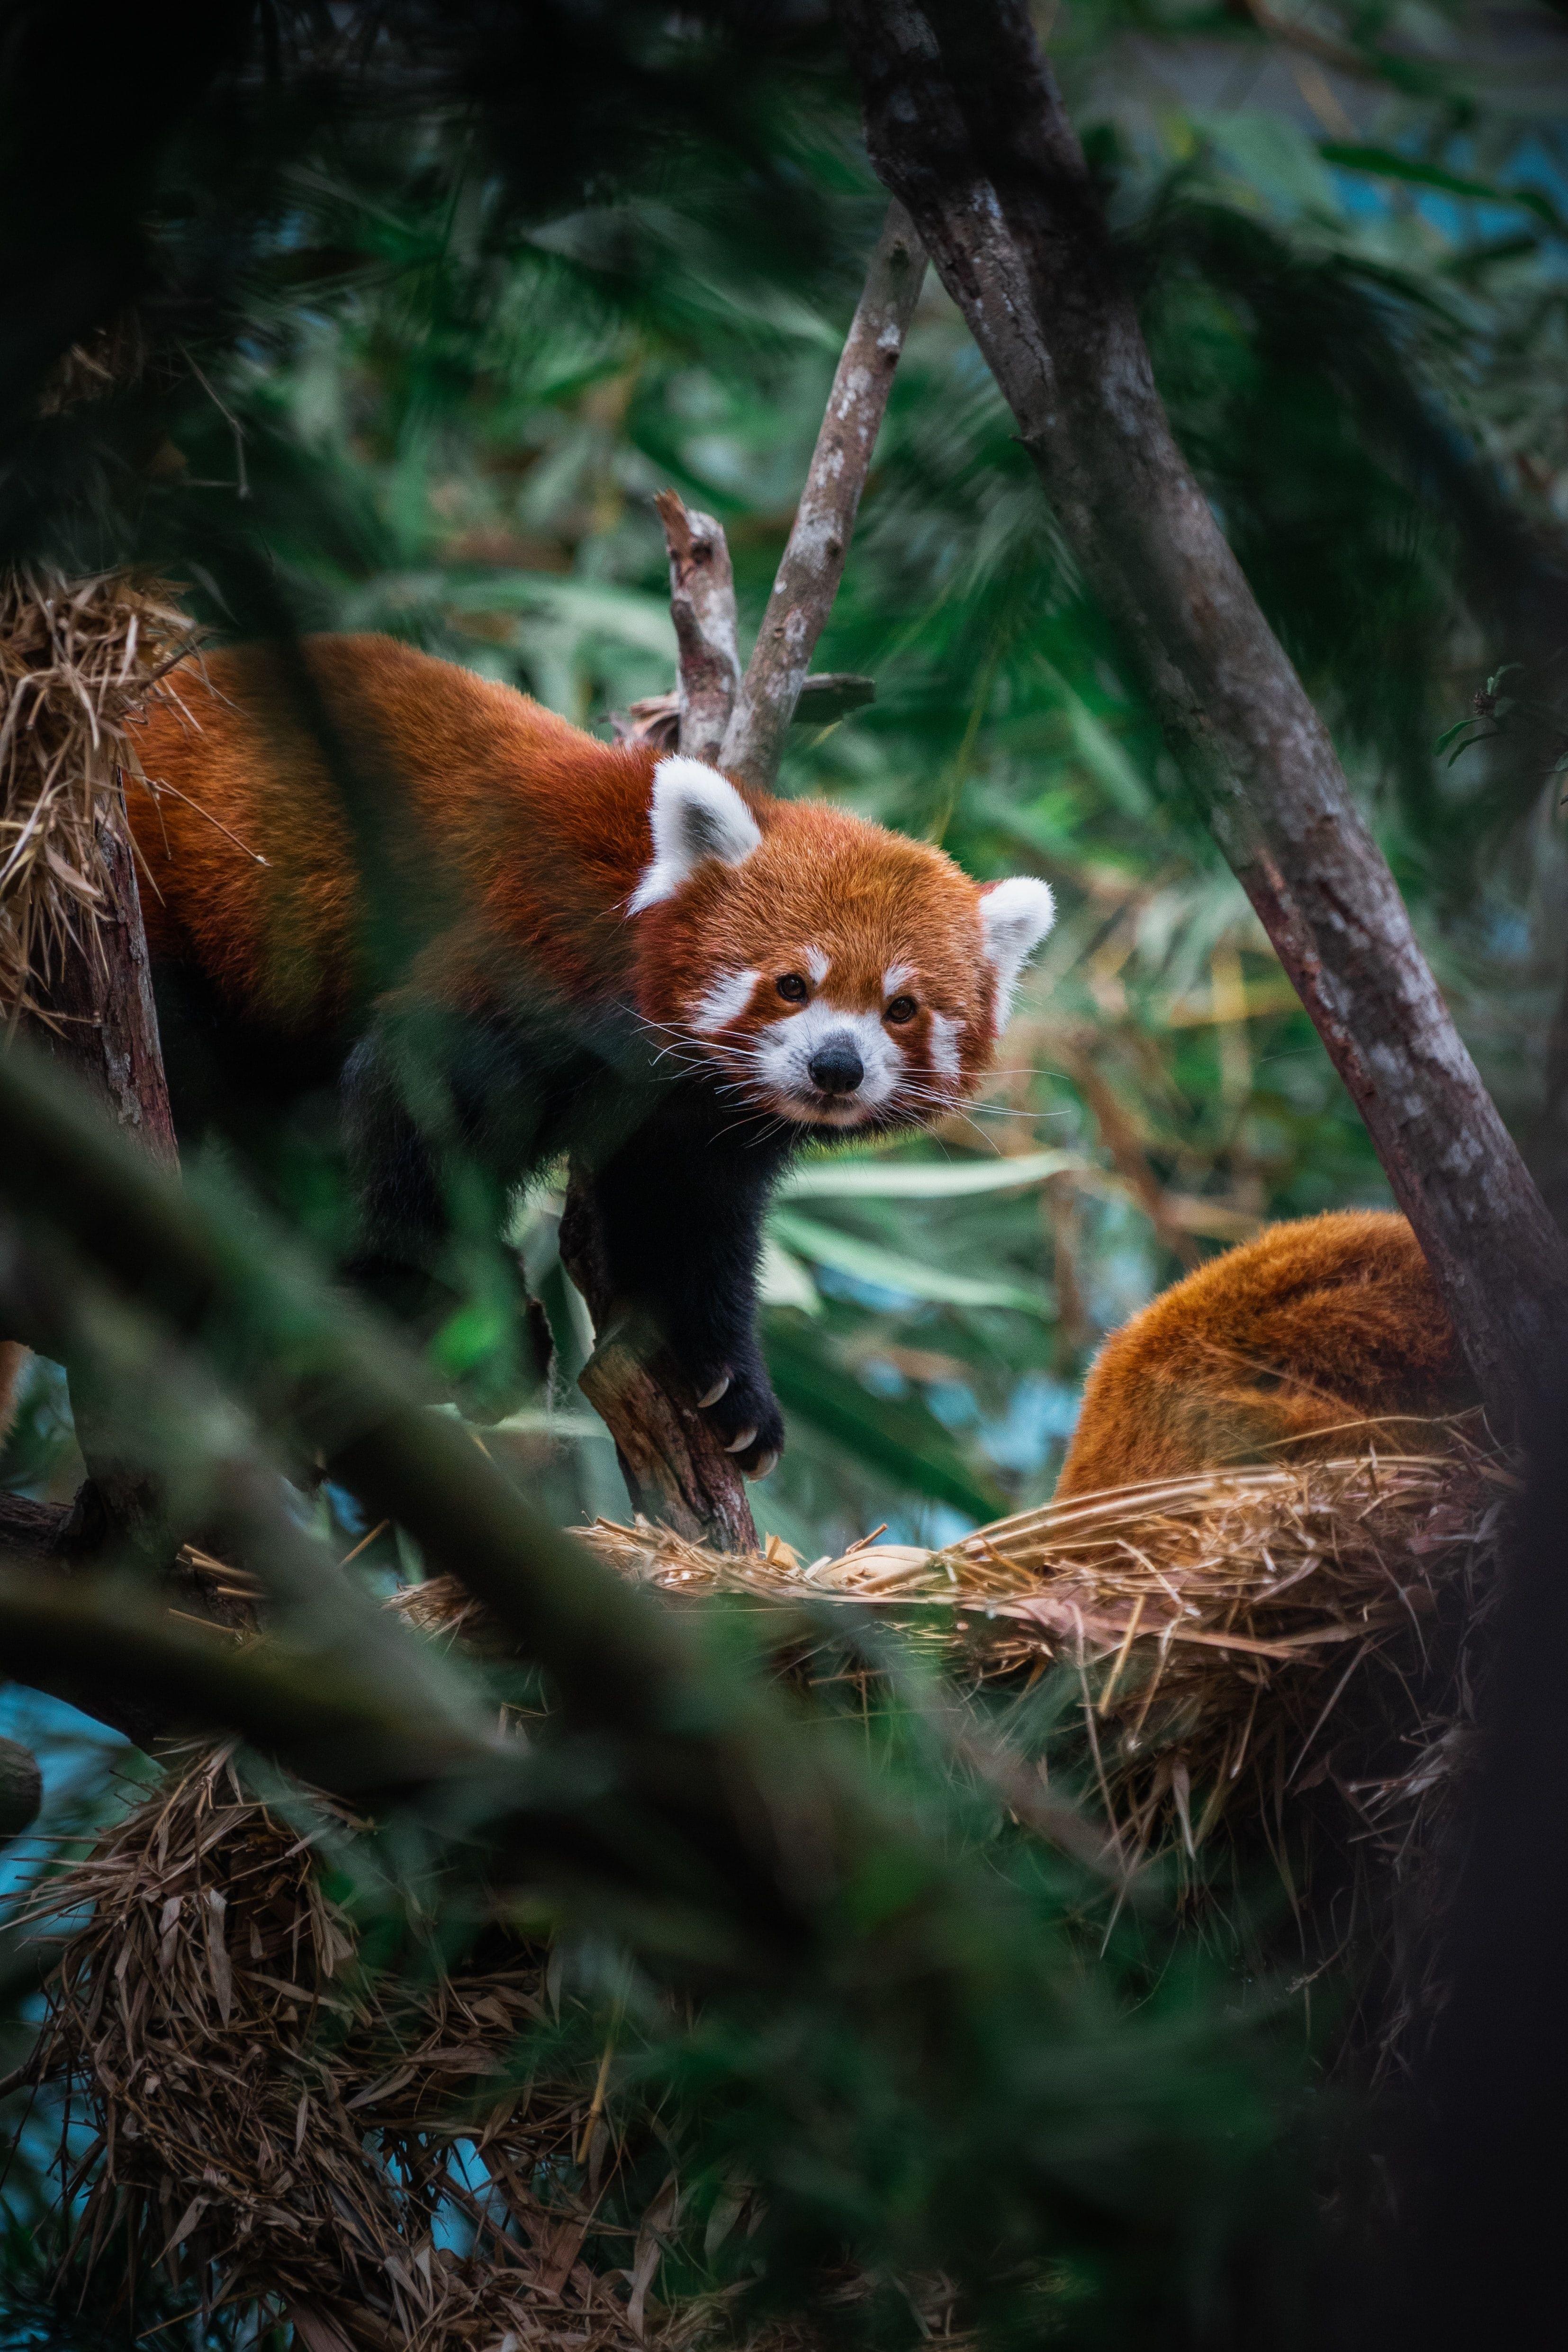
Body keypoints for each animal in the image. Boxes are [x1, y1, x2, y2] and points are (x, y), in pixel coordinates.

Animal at [123, 635, 1053, 1458]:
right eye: (793, 985)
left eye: (901, 1009)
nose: (836, 1067)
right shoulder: (531, 959)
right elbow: (409, 1114)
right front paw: (446, 1302)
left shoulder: (692, 1125)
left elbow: (687, 1223)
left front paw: (727, 1380)